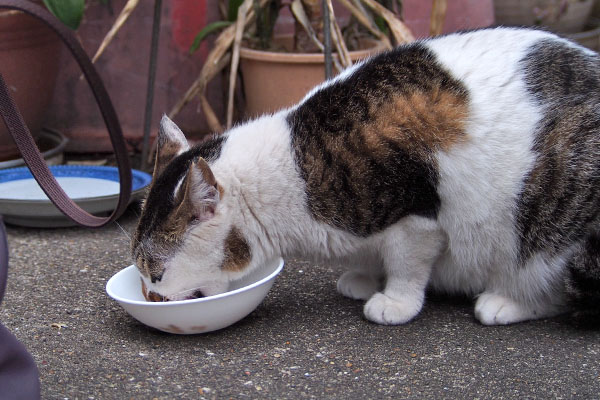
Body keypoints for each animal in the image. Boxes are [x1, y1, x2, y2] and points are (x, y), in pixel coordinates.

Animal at [132, 28, 600, 326]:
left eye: (156, 273)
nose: (149, 296)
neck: (299, 165)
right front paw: (361, 277)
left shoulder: (417, 214)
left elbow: (408, 264)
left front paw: (395, 301)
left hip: (552, 204)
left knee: (558, 288)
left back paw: (505, 302)